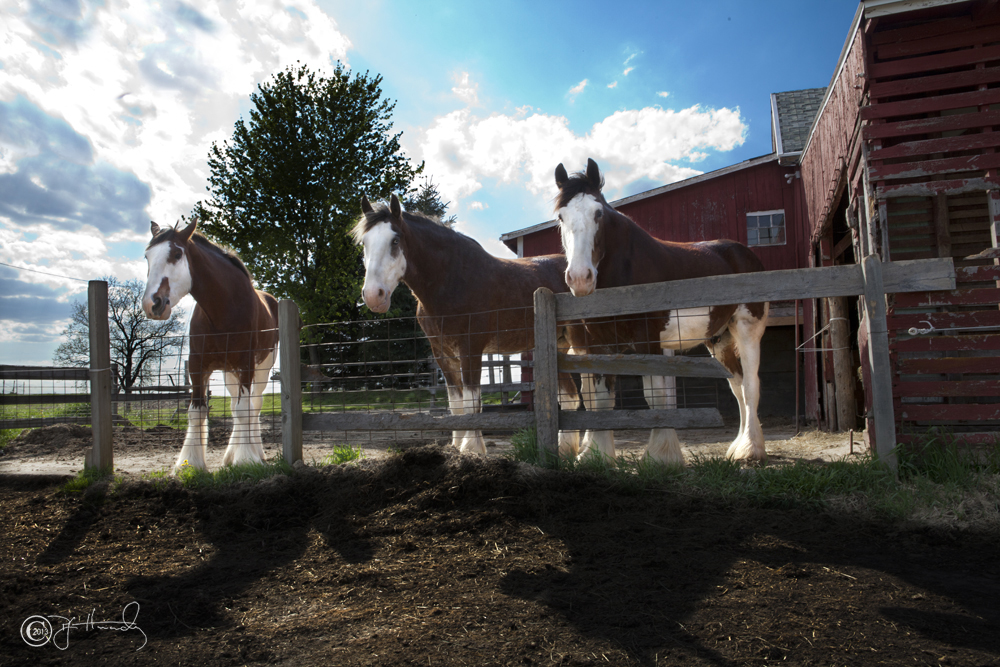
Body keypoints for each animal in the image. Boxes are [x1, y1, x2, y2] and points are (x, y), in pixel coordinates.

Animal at [142, 217, 279, 473]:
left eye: (177, 254)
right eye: (147, 256)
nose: (152, 304)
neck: (224, 308)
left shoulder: (246, 363)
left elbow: (245, 410)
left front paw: (246, 460)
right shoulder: (198, 365)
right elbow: (197, 412)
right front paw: (190, 464)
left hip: (261, 369)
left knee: (253, 405)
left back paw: (256, 453)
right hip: (230, 372)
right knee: (237, 407)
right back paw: (230, 455)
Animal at [353, 194, 587, 456]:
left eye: (395, 240)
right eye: (364, 243)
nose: (373, 295)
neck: (451, 281)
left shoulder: (471, 349)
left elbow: (471, 403)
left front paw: (473, 449)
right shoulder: (443, 355)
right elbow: (456, 405)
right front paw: (456, 447)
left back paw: (589, 450)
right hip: (559, 347)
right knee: (570, 397)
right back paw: (566, 450)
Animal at [553, 158, 769, 462]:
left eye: (598, 213)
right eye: (561, 217)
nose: (580, 278)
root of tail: (745, 254)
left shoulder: (648, 341)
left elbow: (655, 395)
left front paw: (661, 455)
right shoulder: (601, 345)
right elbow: (603, 398)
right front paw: (596, 455)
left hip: (747, 330)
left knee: (750, 386)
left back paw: (751, 450)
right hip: (719, 339)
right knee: (737, 387)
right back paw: (736, 447)